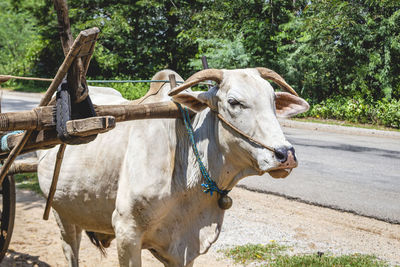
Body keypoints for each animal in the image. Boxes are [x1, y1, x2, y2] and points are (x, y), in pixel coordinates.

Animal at [37, 68, 310, 266]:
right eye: (234, 102)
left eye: (273, 101)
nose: (285, 154)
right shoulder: (127, 232)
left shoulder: (184, 248)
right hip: (63, 214)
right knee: (71, 251)